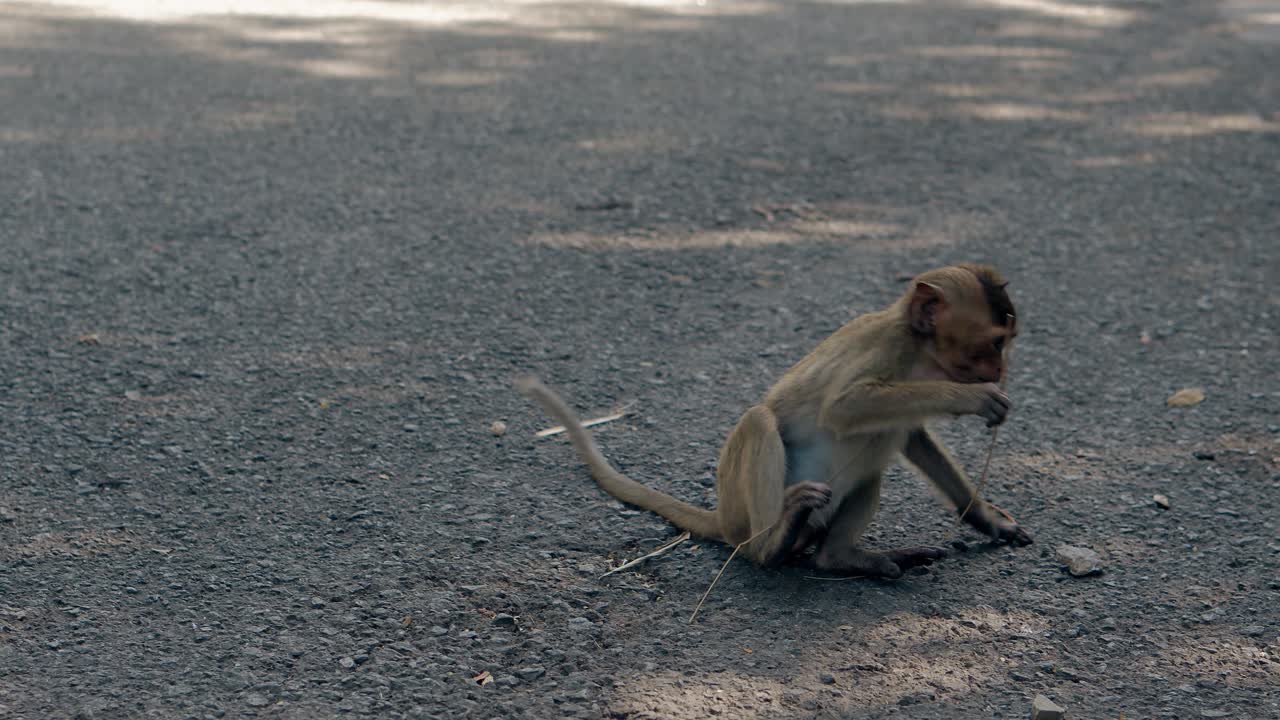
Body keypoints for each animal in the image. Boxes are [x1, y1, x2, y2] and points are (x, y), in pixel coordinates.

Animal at [517, 263, 1032, 578]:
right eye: (992, 342)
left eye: (1006, 343)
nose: (999, 369)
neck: (921, 352)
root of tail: (725, 519)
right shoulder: (887, 348)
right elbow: (843, 407)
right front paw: (975, 398)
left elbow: (913, 439)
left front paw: (987, 520)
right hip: (745, 514)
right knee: (759, 420)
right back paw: (775, 542)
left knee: (871, 466)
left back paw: (840, 557)